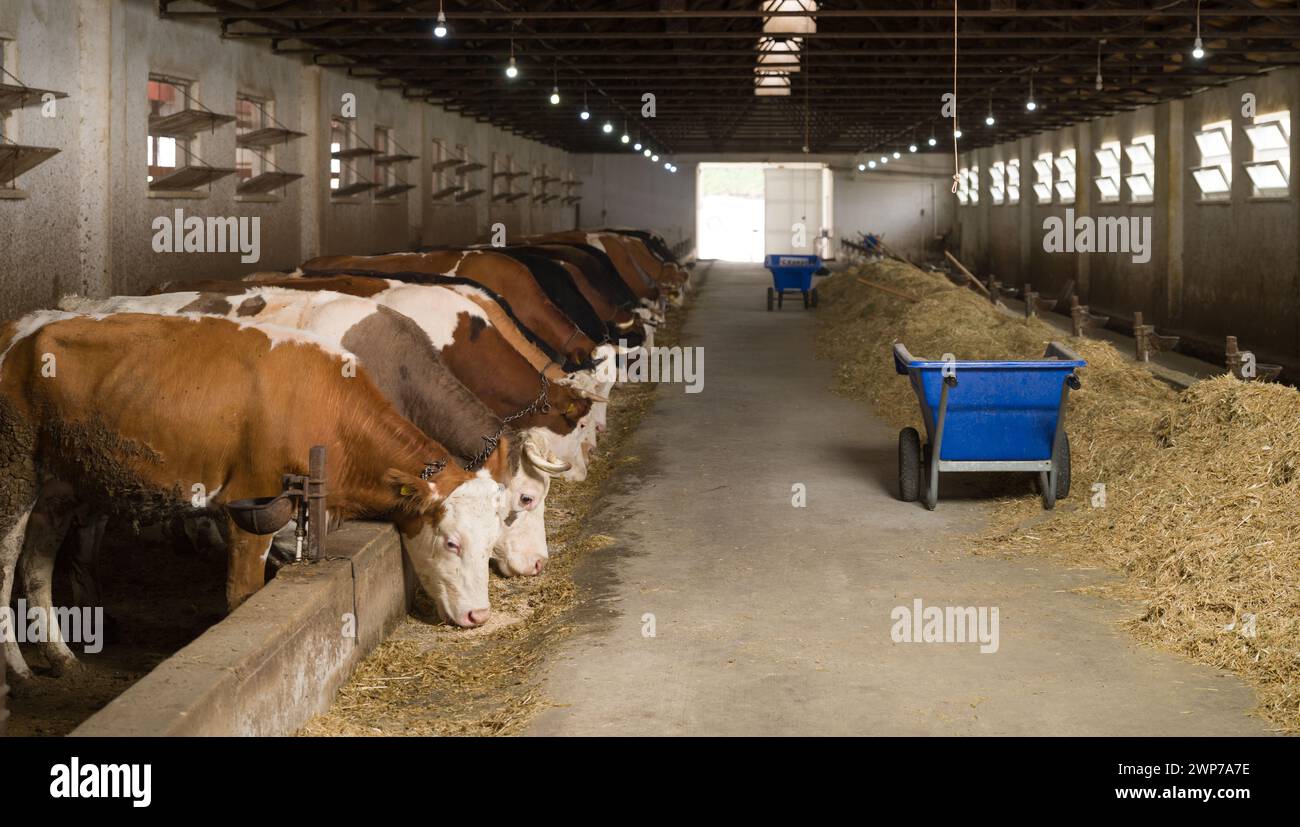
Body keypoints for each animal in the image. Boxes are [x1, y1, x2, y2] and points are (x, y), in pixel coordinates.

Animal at [3, 313, 512, 681]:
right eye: (451, 542)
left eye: (491, 542)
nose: (480, 615)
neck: (331, 412)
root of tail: (22, 330)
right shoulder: (247, 503)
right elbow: (242, 594)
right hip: (14, 475)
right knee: (8, 563)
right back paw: (20, 670)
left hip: (62, 484)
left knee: (36, 564)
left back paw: (62, 658)